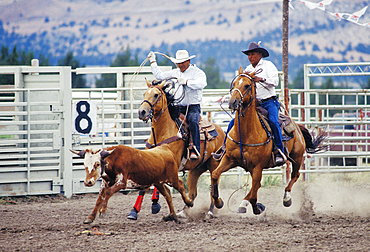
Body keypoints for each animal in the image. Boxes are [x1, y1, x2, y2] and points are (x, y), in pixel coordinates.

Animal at [138, 79, 225, 218]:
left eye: (156, 95)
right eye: (144, 93)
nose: (142, 112)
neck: (163, 132)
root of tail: (219, 129)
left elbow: (176, 186)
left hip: (214, 164)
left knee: (213, 186)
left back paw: (211, 210)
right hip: (196, 169)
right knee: (193, 192)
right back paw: (183, 212)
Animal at [211, 67, 326, 215]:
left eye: (247, 85)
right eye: (234, 84)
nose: (232, 102)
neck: (246, 133)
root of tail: (297, 126)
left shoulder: (257, 167)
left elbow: (254, 191)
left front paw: (253, 206)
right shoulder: (229, 159)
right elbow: (215, 174)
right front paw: (218, 202)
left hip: (297, 157)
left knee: (294, 175)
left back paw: (286, 198)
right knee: (257, 185)